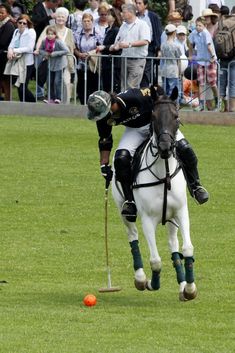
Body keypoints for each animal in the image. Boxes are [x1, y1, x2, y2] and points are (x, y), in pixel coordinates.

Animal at [112, 88, 196, 300]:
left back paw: (182, 283)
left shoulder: (181, 212)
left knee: (174, 244)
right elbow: (156, 260)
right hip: (123, 210)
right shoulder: (147, 220)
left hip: (171, 219)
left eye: (176, 116)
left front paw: (189, 289)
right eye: (153, 116)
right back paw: (141, 278)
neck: (163, 173)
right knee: (132, 236)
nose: (165, 147)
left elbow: (187, 248)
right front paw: (151, 283)